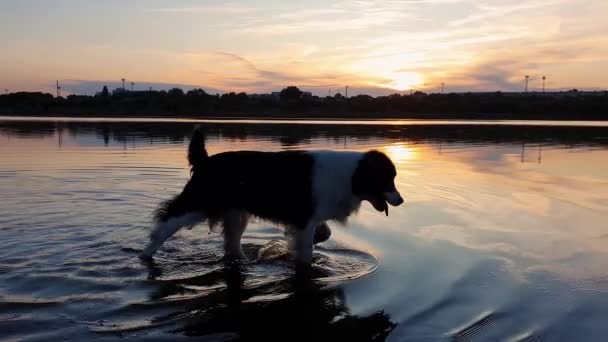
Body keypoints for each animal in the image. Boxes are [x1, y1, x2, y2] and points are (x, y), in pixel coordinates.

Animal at [140, 127, 402, 266]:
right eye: (387, 180)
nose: (400, 200)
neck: (352, 176)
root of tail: (205, 161)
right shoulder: (304, 218)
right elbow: (307, 252)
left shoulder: (307, 217)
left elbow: (323, 233)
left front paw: (294, 246)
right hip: (198, 203)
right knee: (164, 225)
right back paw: (146, 255)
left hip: (236, 214)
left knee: (231, 244)